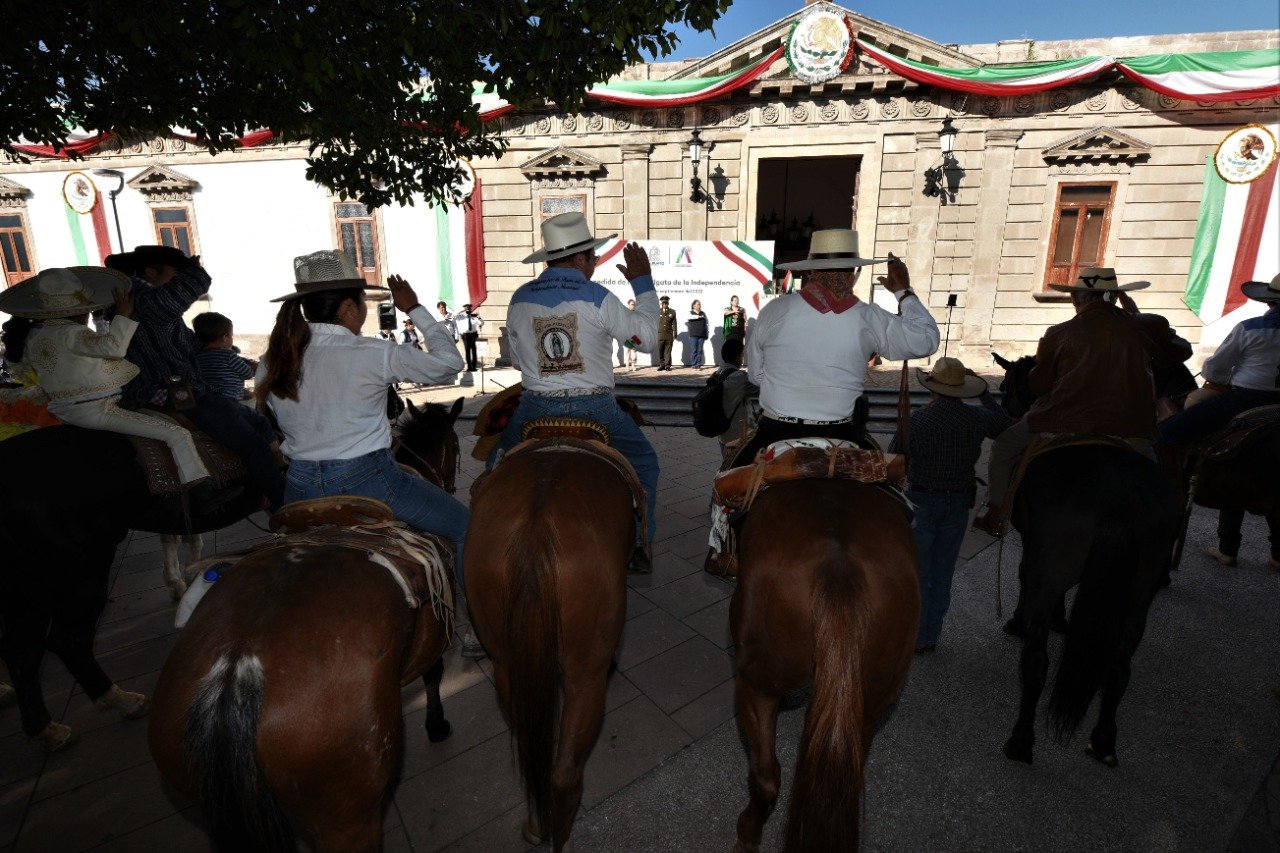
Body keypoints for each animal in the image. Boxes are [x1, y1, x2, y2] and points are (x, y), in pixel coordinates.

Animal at [0, 422, 262, 742]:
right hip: (80, 571)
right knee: (67, 641)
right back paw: (118, 699)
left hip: (27, 586)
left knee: (21, 652)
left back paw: (44, 729)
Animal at [149, 399, 463, 850]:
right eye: (455, 444)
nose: (452, 483)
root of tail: (236, 671)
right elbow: (435, 674)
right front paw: (437, 725)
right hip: (345, 814)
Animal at [988, 350, 1177, 763]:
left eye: (1008, 384)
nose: (1005, 408)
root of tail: (1122, 499)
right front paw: (1063, 619)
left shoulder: (1036, 553)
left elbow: (1024, 575)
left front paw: (1020, 620)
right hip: (1139, 594)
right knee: (1118, 668)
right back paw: (1104, 739)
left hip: (1051, 572)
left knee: (1037, 663)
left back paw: (1021, 739)